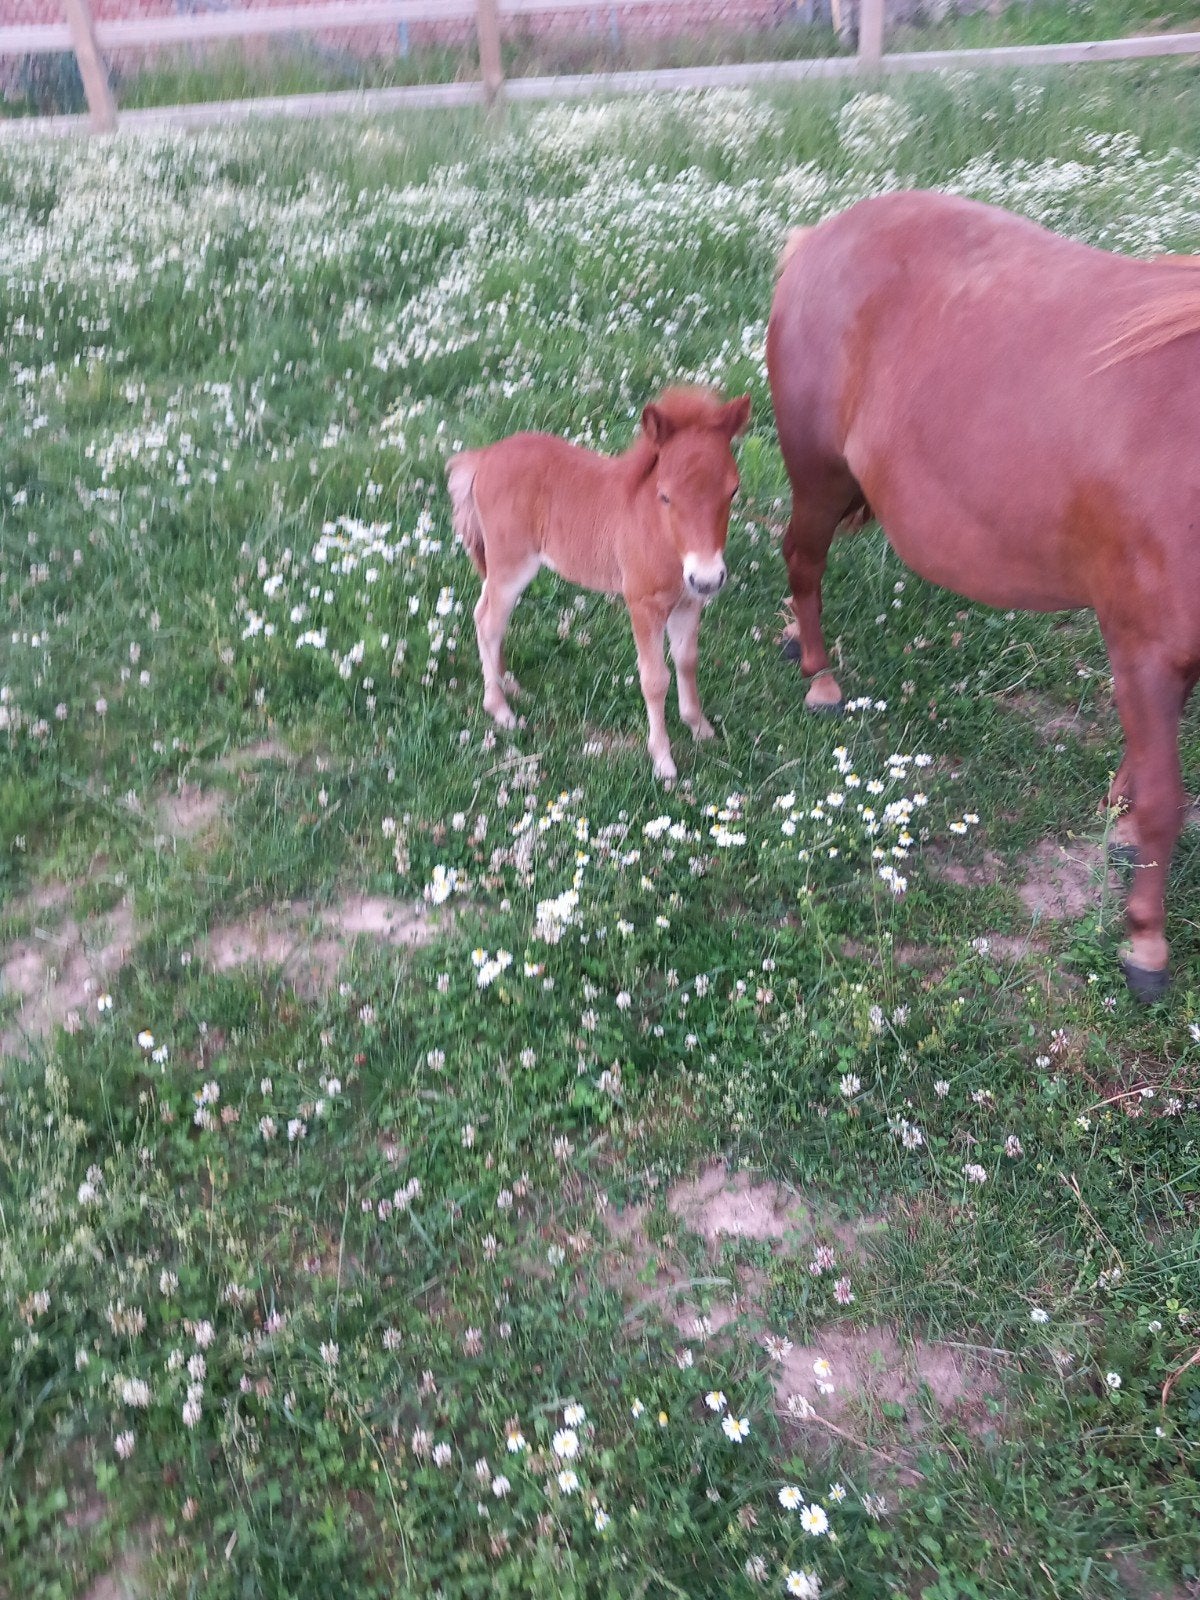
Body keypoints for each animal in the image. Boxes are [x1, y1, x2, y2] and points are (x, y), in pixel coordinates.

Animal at [447, 387, 751, 781]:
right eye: (665, 496)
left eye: (733, 491)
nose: (708, 578)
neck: (661, 535)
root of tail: (484, 457)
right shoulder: (643, 605)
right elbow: (655, 680)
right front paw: (663, 760)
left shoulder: (688, 602)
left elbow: (687, 662)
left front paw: (700, 728)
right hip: (511, 565)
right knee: (487, 621)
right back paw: (500, 708)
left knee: (490, 616)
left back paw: (508, 683)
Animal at [766, 190, 1200, 999]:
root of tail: (821, 237)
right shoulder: (1144, 643)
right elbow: (1165, 798)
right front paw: (1146, 942)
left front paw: (1120, 825)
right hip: (819, 474)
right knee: (802, 560)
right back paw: (818, 673)